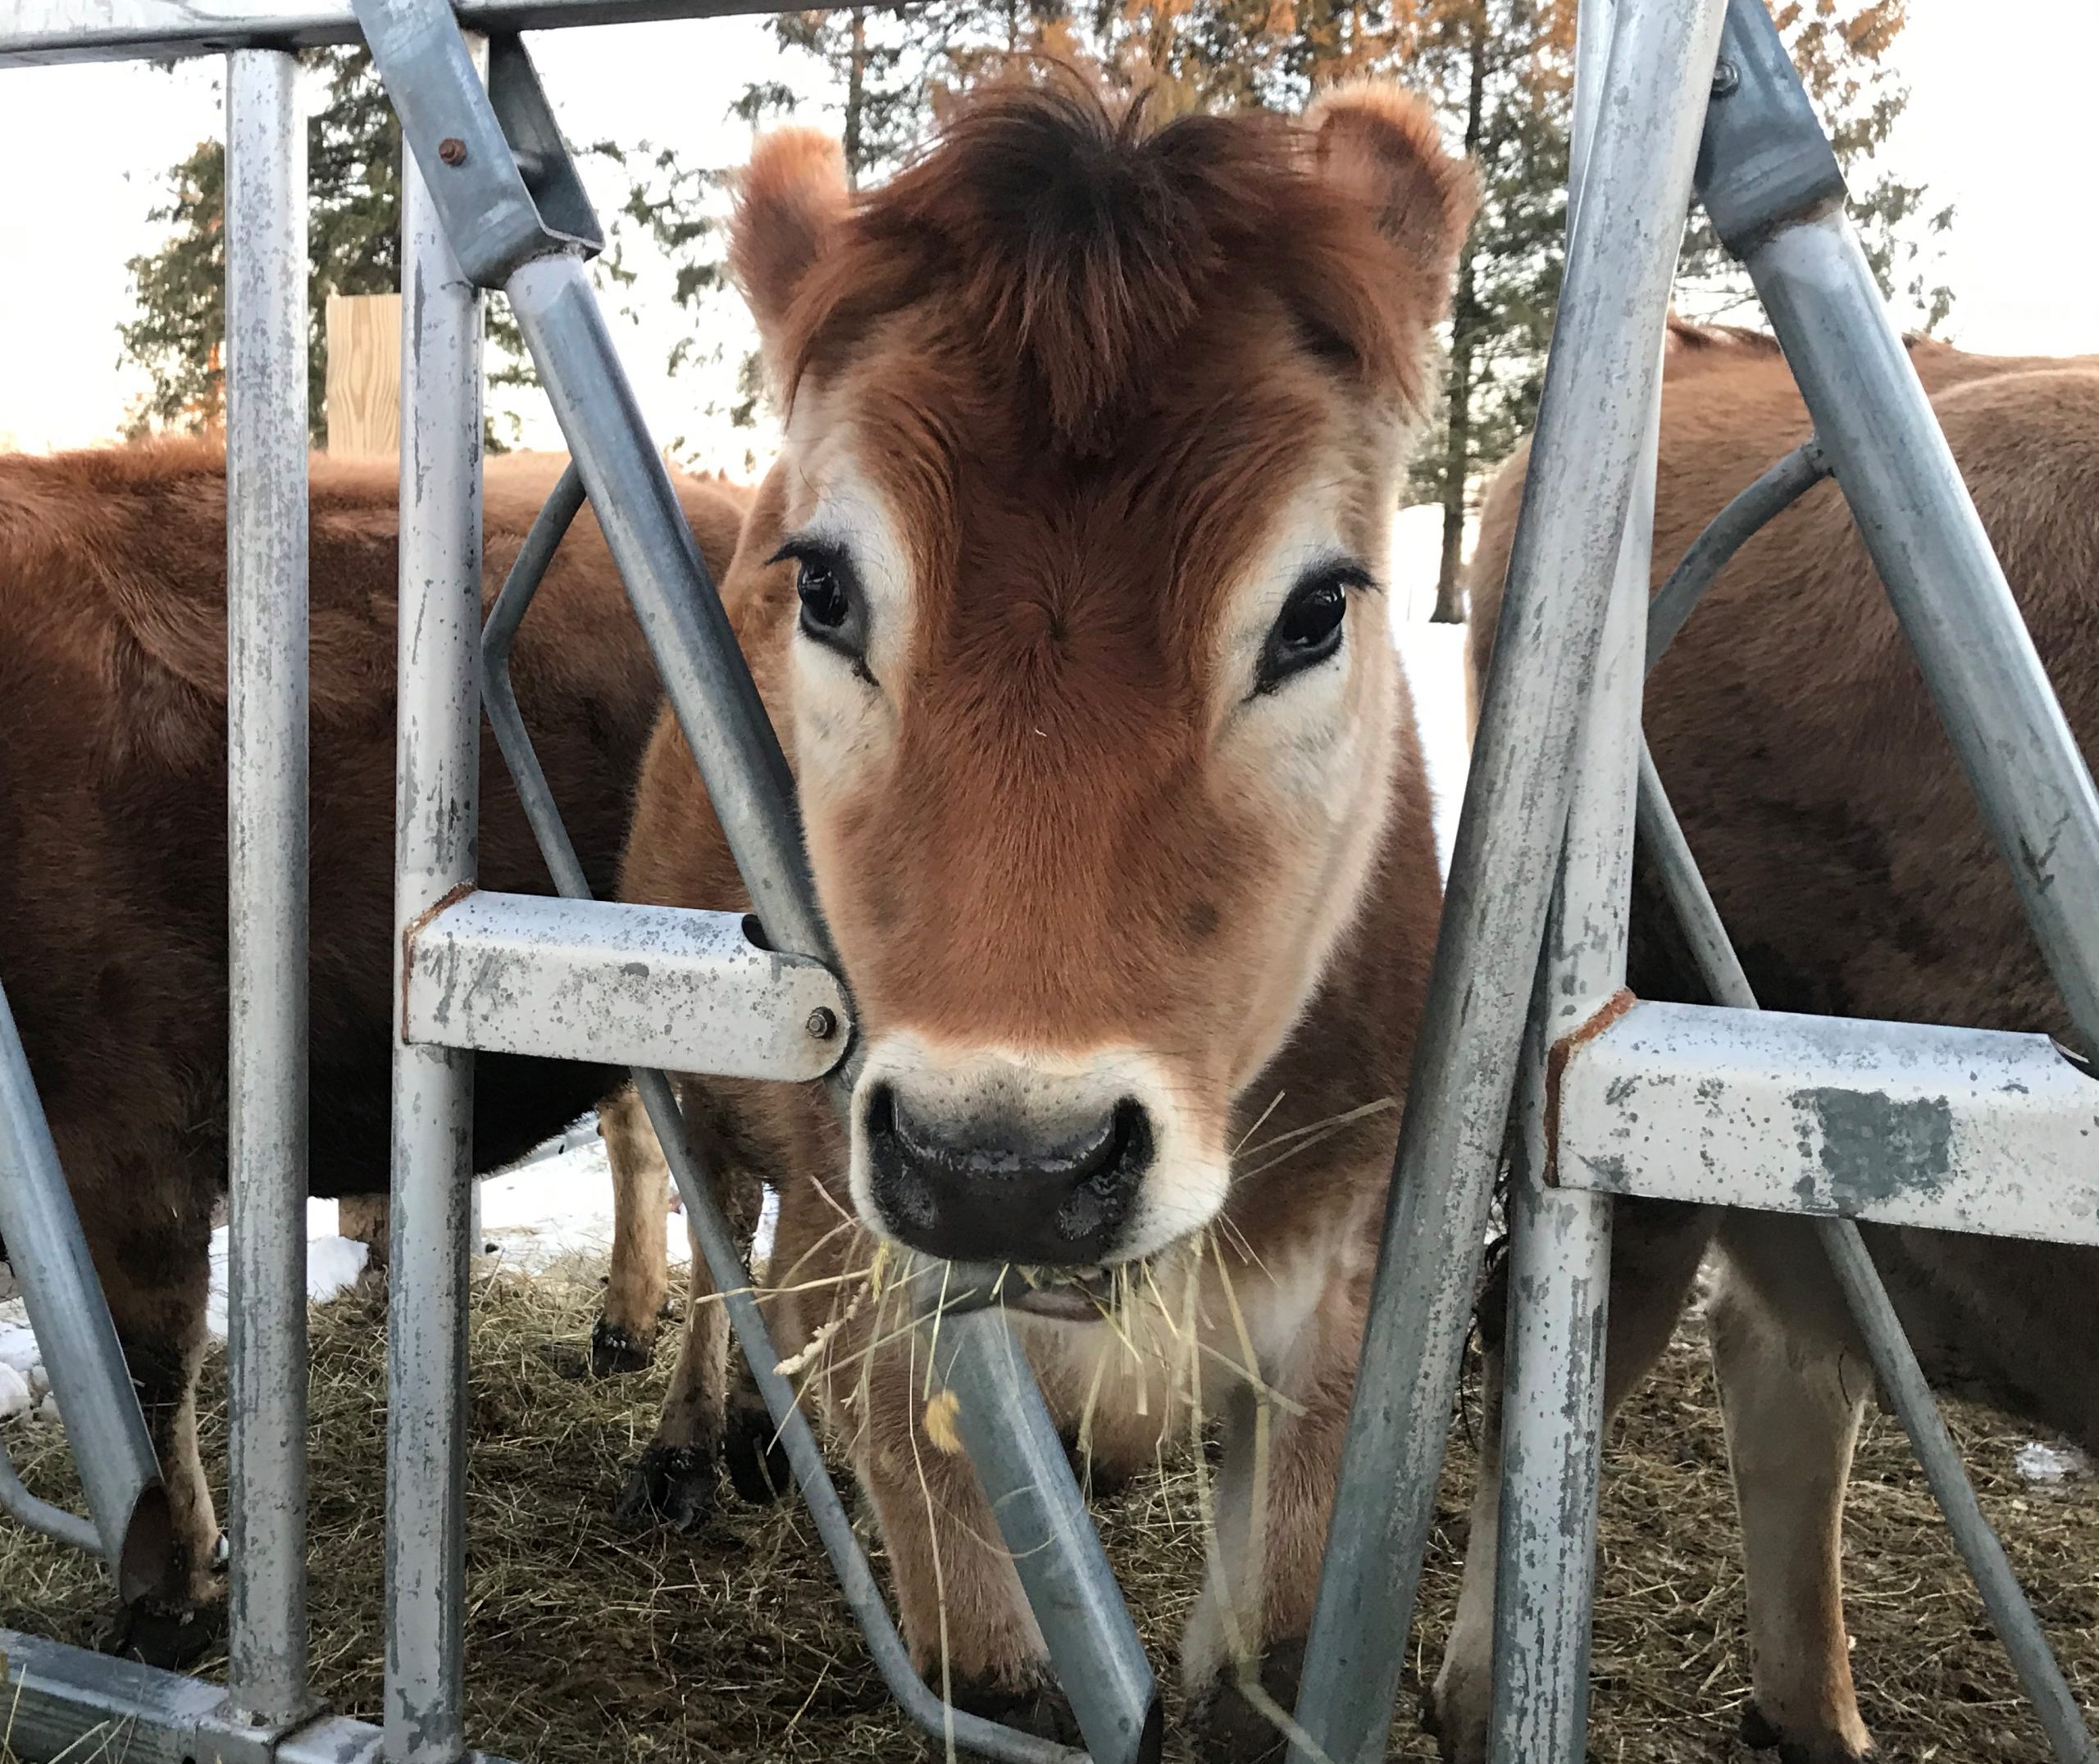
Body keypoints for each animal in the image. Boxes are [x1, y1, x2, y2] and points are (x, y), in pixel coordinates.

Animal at [0, 434, 747, 1661]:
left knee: (732, 1202)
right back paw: (625, 1325)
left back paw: (685, 1452)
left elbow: (147, 1363)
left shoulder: (124, 1135)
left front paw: (173, 1598)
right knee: (643, 1136)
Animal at [608, 75, 1477, 1753]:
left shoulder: (1337, 1320)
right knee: (711, 1227)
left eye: (1317, 609)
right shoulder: (889, 1309)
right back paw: (694, 1434)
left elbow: (1267, 1655)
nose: (1004, 1166)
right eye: (826, 590)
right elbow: (1001, 1665)